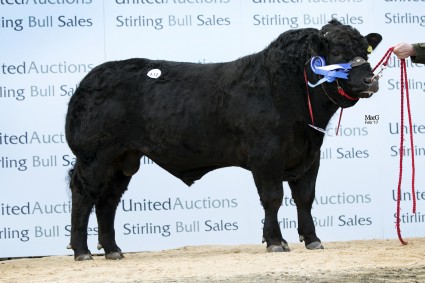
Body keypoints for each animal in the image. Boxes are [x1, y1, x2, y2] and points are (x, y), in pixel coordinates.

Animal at [65, 20, 380, 260]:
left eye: (364, 51)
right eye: (336, 51)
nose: (371, 80)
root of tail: (88, 81)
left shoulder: (309, 155)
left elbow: (305, 197)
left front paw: (312, 238)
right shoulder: (266, 156)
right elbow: (273, 198)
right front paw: (275, 241)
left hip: (122, 160)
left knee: (107, 201)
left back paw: (112, 250)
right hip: (94, 156)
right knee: (84, 195)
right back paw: (82, 251)